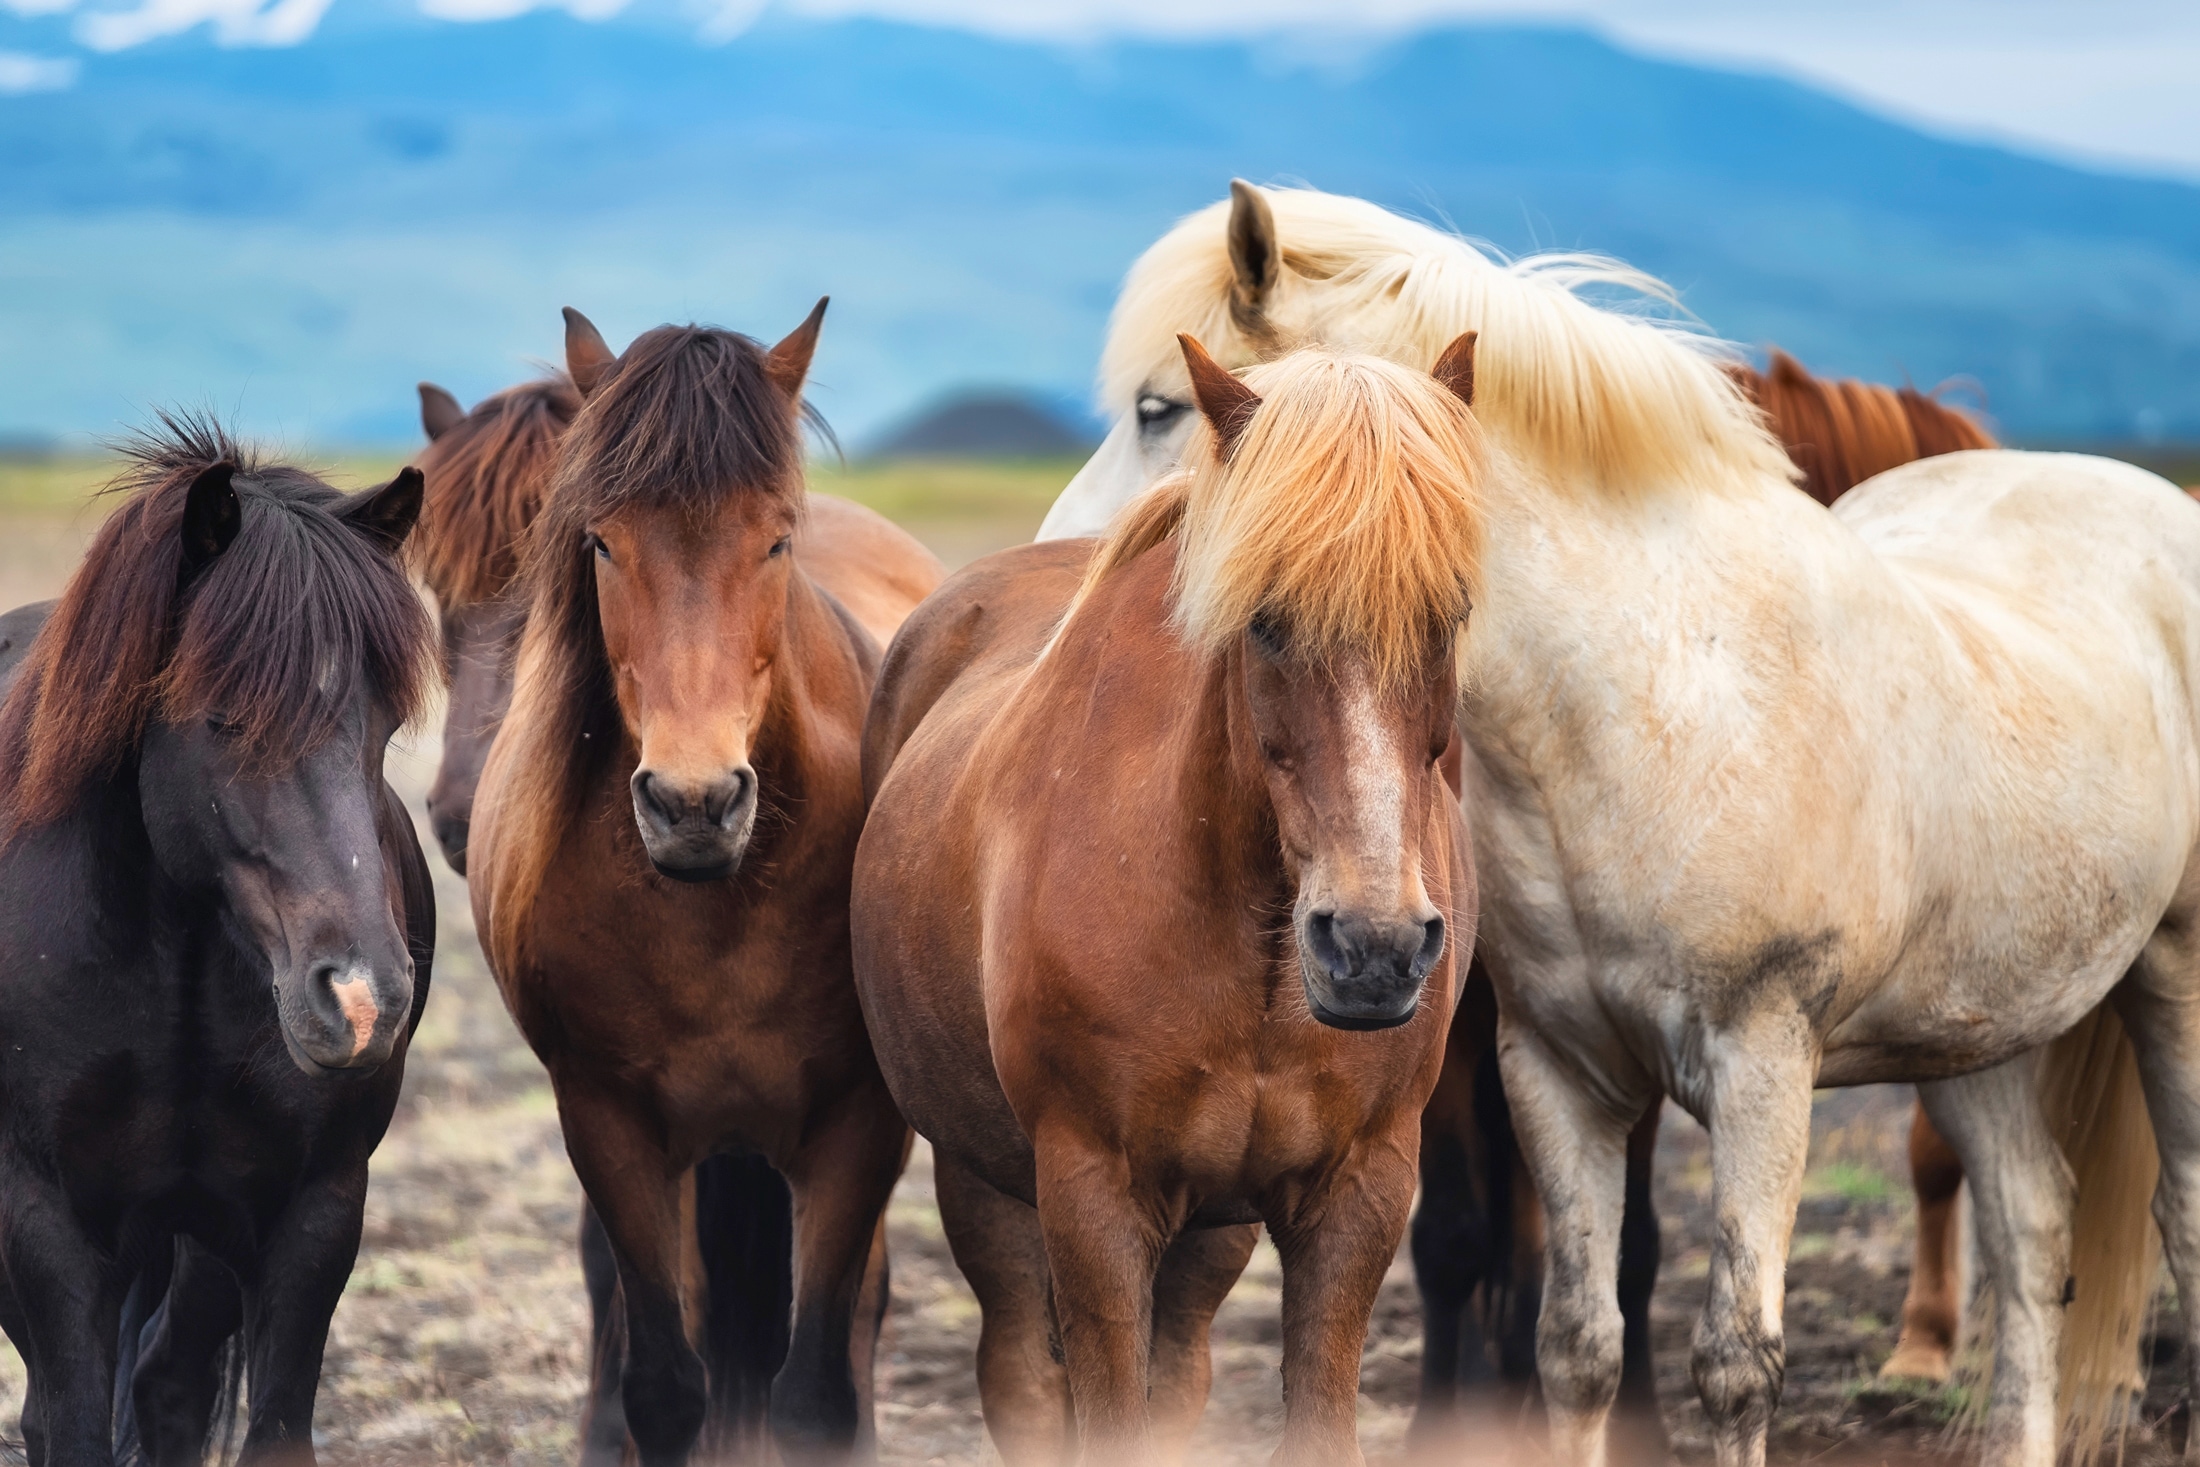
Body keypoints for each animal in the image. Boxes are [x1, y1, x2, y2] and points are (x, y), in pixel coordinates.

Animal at [0, 415, 440, 1467]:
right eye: (223, 715)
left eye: (381, 720)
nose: (364, 999)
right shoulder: (43, 1224)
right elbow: (67, 1423)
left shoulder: (314, 1215)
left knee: (168, 1382)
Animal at [473, 303, 937, 1460]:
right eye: (601, 541)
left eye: (774, 538)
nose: (693, 803)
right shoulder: (611, 1127)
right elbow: (665, 1388)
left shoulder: (858, 1125)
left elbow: (814, 1391)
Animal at [849, 336, 1487, 1467]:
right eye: (1265, 622)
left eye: (1448, 615)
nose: (1372, 948)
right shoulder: (1092, 1196)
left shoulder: (1358, 1194)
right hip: (986, 1184)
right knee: (1023, 1376)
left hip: (1209, 1233)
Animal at [1034, 180, 2200, 1467]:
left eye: (1156, 409)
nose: (1058, 573)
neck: (1650, 696)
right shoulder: (1556, 1066)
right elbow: (1576, 1345)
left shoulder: (1759, 1064)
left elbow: (1734, 1364)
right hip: (1977, 1028)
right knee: (2032, 1224)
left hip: (2170, 977)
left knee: (2180, 1218)